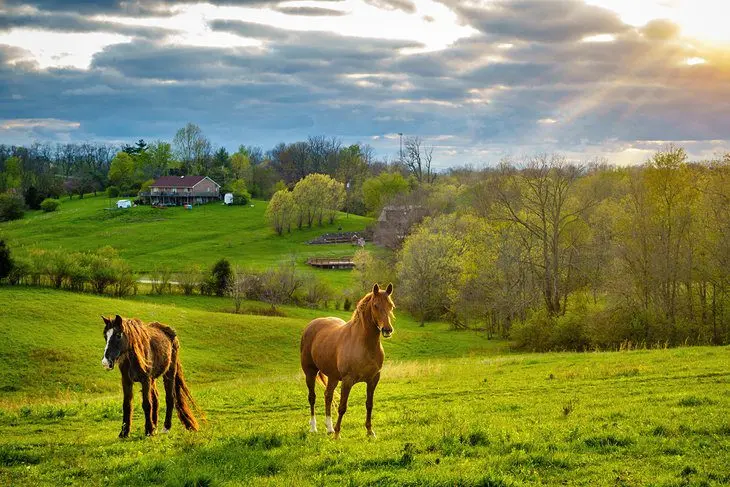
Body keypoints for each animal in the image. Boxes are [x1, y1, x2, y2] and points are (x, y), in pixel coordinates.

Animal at [300, 282, 396, 438]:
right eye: (375, 305)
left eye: (391, 305)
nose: (387, 330)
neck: (364, 344)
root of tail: (311, 325)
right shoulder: (347, 380)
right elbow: (342, 407)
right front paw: (338, 434)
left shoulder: (373, 379)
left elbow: (369, 404)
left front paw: (370, 432)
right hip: (310, 372)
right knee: (312, 397)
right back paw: (314, 428)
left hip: (332, 377)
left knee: (328, 396)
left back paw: (329, 428)